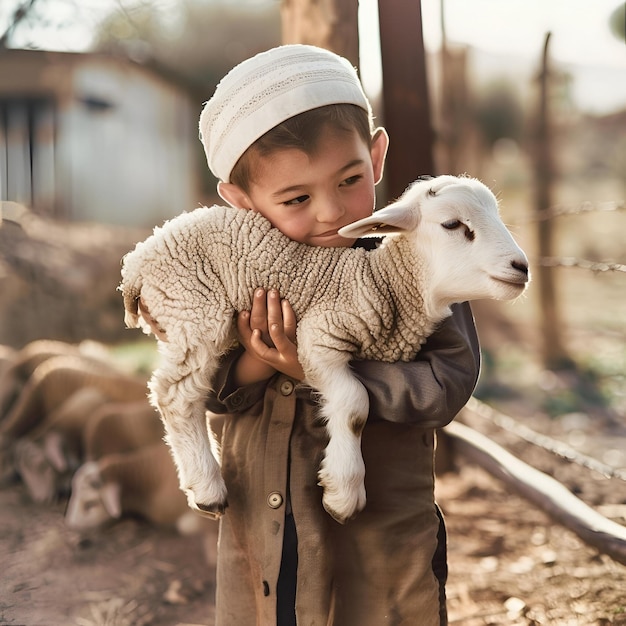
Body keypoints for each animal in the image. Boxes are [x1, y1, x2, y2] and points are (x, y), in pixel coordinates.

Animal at [120, 173, 528, 524]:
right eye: (452, 225)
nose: (521, 267)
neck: (383, 284)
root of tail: (135, 264)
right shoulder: (320, 333)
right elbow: (355, 405)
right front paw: (343, 493)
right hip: (195, 312)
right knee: (175, 395)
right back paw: (207, 487)